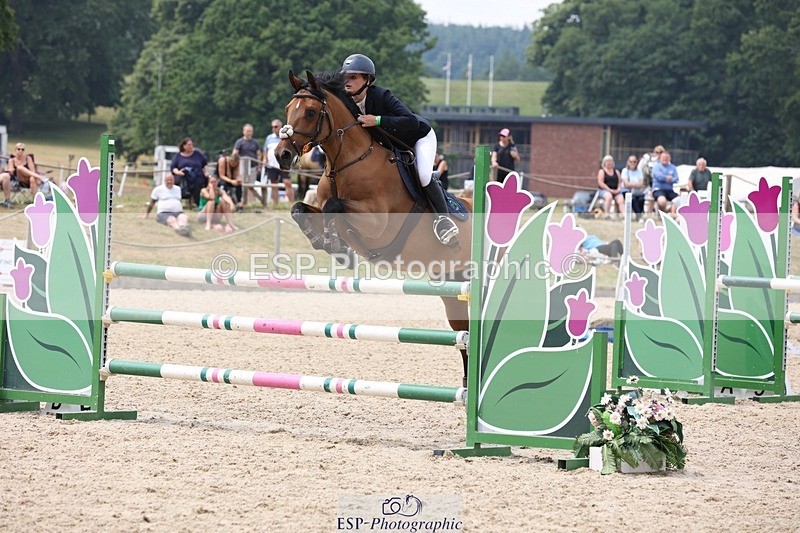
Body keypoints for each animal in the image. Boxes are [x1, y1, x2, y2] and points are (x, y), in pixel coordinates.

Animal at [275, 70, 474, 385]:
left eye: (309, 112)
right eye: (287, 109)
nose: (281, 155)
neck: (346, 163)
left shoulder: (378, 224)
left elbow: (334, 207)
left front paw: (336, 245)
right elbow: (299, 209)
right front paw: (331, 246)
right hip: (451, 284)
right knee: (462, 334)